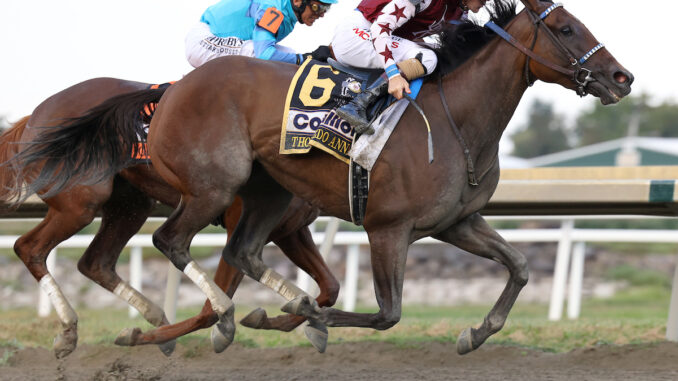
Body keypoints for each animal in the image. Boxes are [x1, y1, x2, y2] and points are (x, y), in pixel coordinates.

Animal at [0, 78, 340, 358]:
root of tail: (34, 115)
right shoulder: (239, 228)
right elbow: (210, 310)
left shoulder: (290, 231)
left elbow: (330, 287)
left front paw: (300, 320)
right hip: (80, 202)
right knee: (29, 248)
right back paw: (70, 330)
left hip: (131, 205)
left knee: (95, 262)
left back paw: (152, 315)